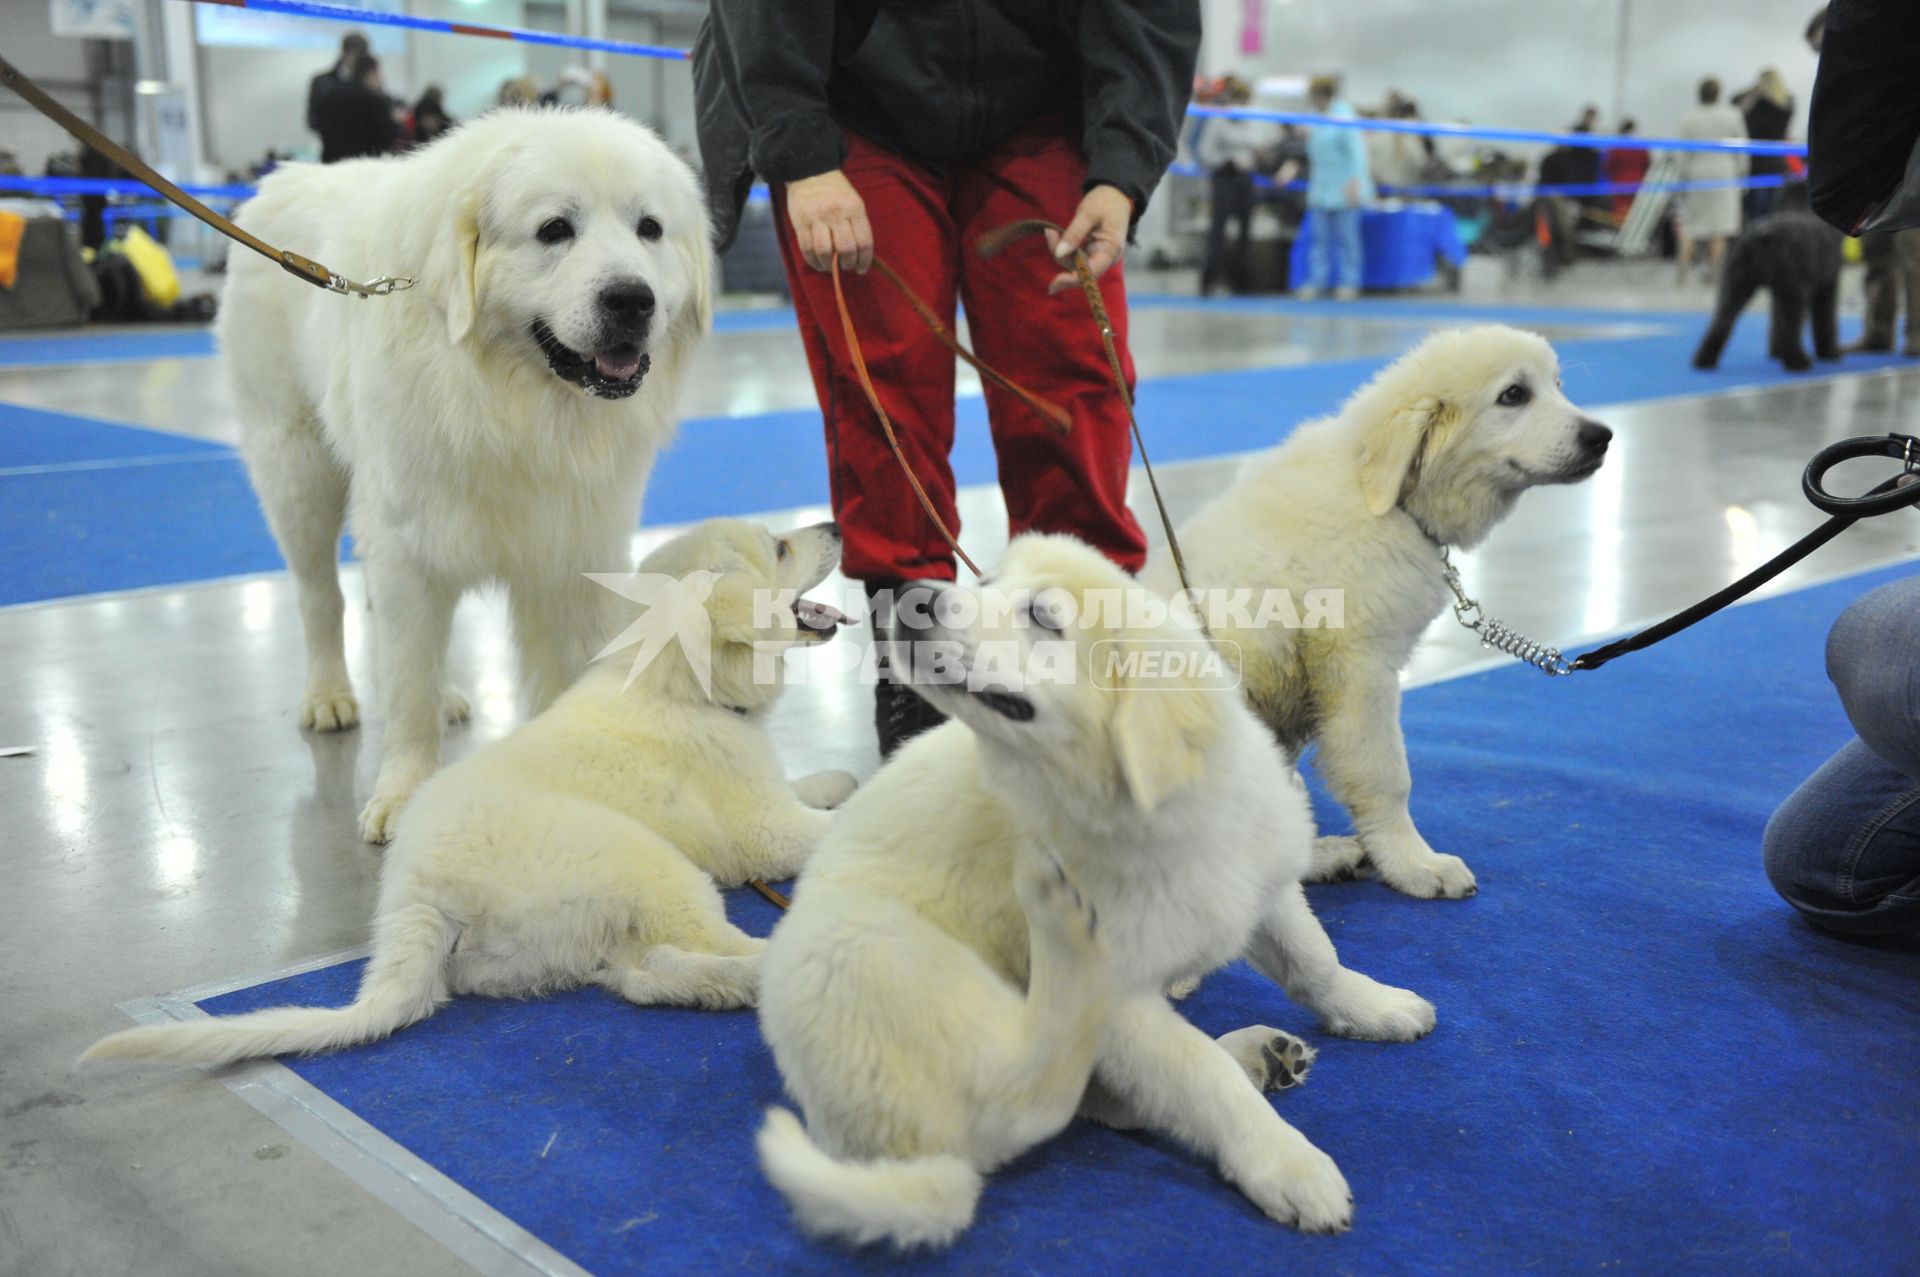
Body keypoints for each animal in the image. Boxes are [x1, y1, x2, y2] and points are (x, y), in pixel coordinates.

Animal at [82, 518, 848, 1067]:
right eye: (780, 547)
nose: (836, 524)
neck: (677, 683)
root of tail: (420, 896)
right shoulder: (762, 829)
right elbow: (820, 826)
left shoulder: (767, 796)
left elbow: (811, 786)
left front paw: (836, 776)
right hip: (647, 861)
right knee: (698, 945)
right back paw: (769, 970)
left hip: (574, 931)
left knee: (643, 973)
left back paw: (729, 987)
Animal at [217, 109, 714, 841]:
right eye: (554, 230)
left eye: (649, 228)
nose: (631, 299)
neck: (510, 405)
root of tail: (286, 176)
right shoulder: (406, 543)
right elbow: (405, 684)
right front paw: (403, 794)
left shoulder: (576, 548)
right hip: (297, 472)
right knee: (321, 598)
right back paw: (329, 695)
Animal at [756, 533, 1436, 1252]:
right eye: (989, 583)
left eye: (1042, 616)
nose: (913, 594)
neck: (1144, 820)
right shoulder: (1123, 1000)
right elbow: (1203, 1075)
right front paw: (1288, 1162)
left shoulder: (1259, 887)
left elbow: (1315, 961)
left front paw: (1378, 1007)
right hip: (861, 943)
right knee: (1036, 1086)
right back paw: (1060, 926)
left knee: (1104, 1096)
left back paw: (1261, 1056)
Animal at [1159, 324, 1612, 894]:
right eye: (1514, 395)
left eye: (1557, 386)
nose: (1602, 436)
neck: (1391, 499)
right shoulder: (1360, 670)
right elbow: (1387, 776)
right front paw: (1415, 864)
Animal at [1697, 184, 1843, 374]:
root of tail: (1764, 235)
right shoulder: (1827, 285)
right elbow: (1825, 319)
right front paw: (1828, 352)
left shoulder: (1779, 291)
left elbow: (1777, 322)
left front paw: (1776, 352)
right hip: (1793, 292)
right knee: (1791, 327)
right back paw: (1798, 361)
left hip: (1736, 285)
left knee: (1722, 319)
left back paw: (1704, 359)